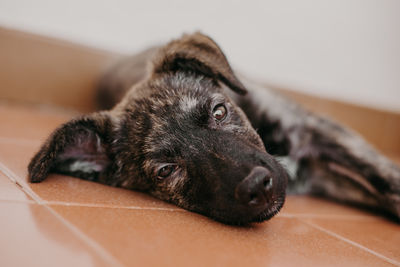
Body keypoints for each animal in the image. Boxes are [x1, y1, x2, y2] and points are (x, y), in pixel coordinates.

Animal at [26, 33, 398, 226]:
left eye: (219, 111)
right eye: (166, 170)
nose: (258, 187)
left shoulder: (320, 133)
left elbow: (385, 178)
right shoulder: (321, 176)